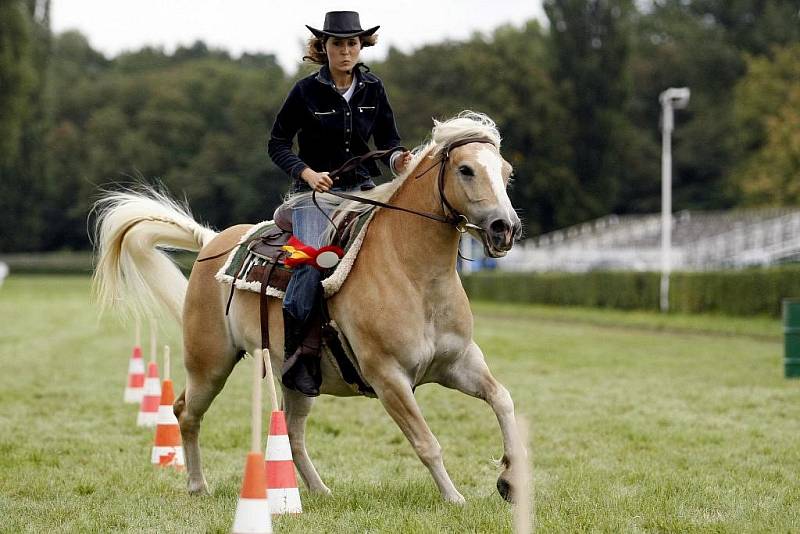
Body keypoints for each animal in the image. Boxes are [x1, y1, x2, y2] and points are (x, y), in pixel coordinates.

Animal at [92, 111, 524, 504]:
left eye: (505, 172)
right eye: (466, 169)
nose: (505, 228)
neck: (415, 277)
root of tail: (213, 240)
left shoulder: (459, 363)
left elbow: (503, 399)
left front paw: (510, 481)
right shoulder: (389, 378)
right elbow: (426, 442)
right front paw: (454, 498)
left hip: (295, 380)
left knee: (292, 434)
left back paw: (318, 490)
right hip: (209, 363)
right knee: (186, 412)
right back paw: (199, 485)